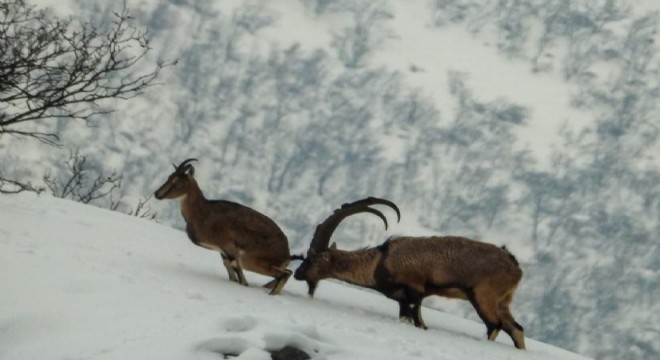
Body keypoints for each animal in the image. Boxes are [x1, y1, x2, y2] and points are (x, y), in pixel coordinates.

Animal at [156, 159, 292, 294]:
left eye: (176, 181)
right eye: (169, 177)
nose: (157, 194)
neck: (203, 213)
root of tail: (286, 252)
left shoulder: (229, 247)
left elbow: (240, 277)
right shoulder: (223, 252)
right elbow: (231, 272)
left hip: (251, 260)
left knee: (285, 274)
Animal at [294, 197, 524, 348]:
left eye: (312, 258)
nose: (297, 274)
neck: (380, 262)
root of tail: (515, 265)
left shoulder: (414, 293)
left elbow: (418, 321)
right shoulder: (404, 301)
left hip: (482, 296)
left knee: (495, 325)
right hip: (502, 302)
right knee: (516, 329)